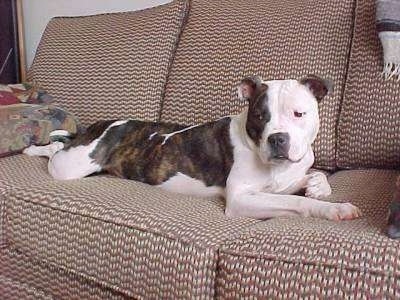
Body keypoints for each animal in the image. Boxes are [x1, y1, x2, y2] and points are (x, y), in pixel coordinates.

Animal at [25, 75, 362, 220]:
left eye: (298, 114)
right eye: (260, 116)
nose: (277, 138)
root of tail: (99, 126)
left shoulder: (284, 180)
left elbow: (314, 176)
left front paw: (318, 187)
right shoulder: (240, 199)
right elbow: (294, 202)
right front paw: (334, 208)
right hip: (72, 165)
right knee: (54, 152)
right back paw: (33, 149)